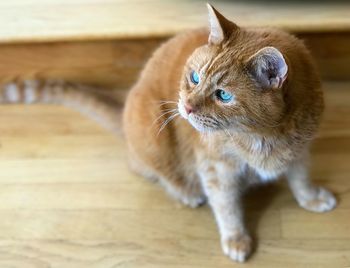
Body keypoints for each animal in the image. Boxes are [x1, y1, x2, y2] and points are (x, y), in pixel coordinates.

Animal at [0, 3, 336, 264]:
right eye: (194, 78)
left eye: (223, 95)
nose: (186, 107)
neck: (263, 135)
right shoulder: (215, 169)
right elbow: (226, 207)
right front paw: (236, 238)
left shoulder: (299, 150)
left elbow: (301, 179)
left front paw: (311, 199)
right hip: (152, 130)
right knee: (156, 171)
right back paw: (186, 191)